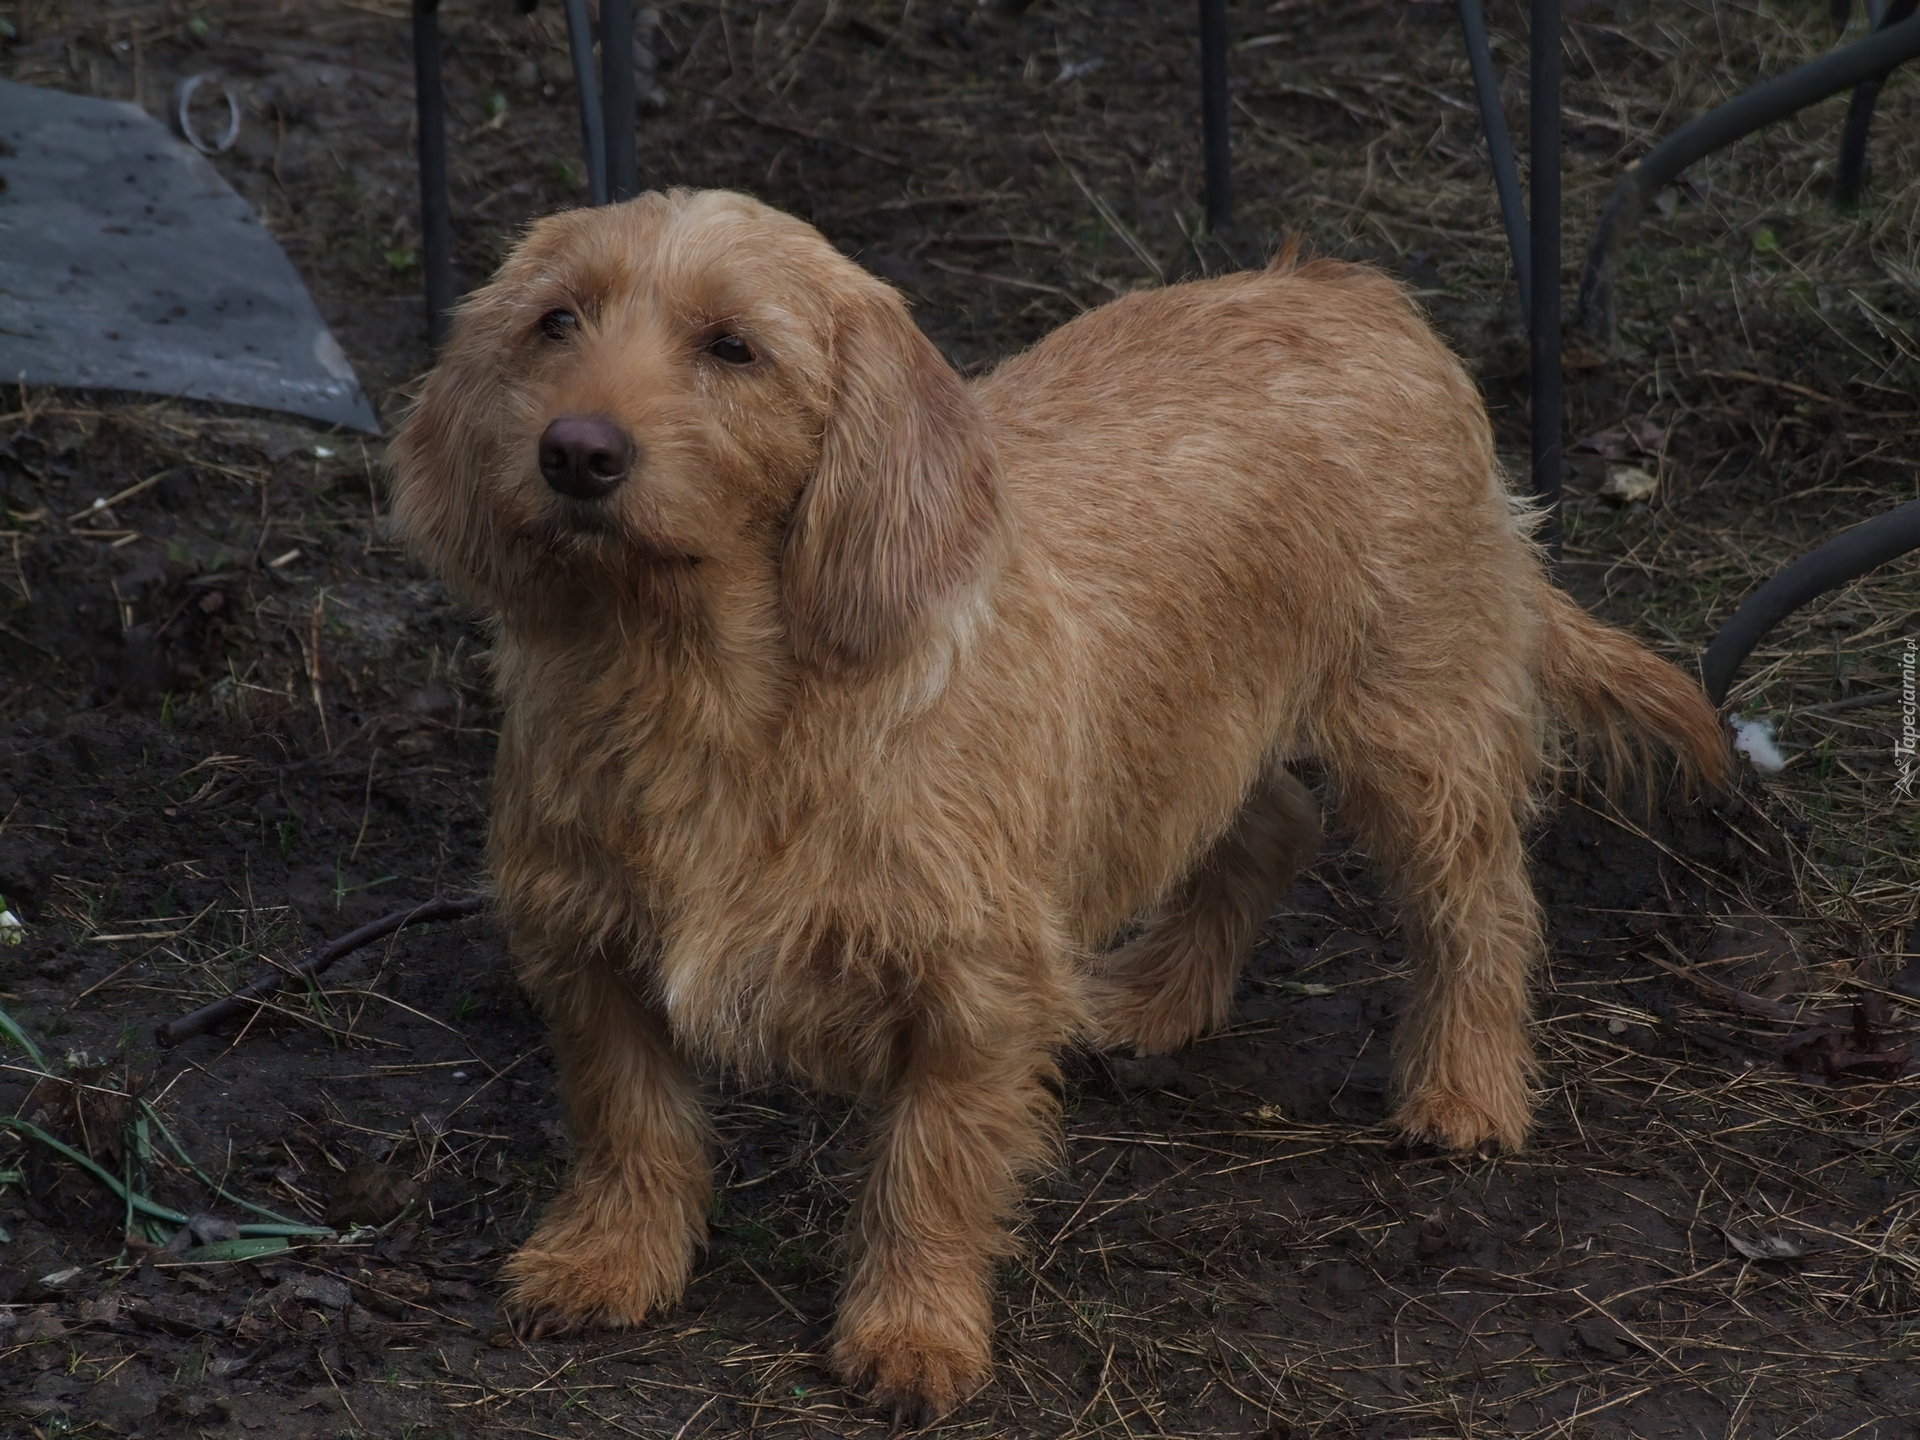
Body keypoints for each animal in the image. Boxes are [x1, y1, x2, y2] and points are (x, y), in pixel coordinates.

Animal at [385, 189, 1728, 1420]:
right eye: (556, 321)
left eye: (733, 347)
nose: (577, 451)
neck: (697, 681)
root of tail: (1346, 287)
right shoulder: (587, 951)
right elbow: (630, 1120)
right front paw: (610, 1260)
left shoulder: (971, 986)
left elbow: (926, 1166)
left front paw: (914, 1331)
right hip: (1194, 727)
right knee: (1270, 824)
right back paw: (1155, 999)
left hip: (1417, 727)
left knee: (1480, 904)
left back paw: (1465, 1089)